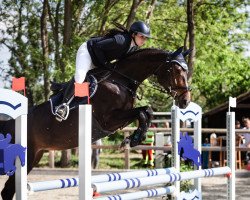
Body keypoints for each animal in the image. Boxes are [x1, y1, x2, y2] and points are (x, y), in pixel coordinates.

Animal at [0, 46, 191, 198]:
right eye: (176, 70)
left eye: (185, 72)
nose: (185, 101)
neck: (120, 81)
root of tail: (8, 123)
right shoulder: (108, 119)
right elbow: (142, 113)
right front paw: (133, 139)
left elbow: (147, 111)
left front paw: (133, 139)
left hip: (34, 157)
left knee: (8, 191)